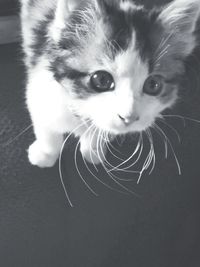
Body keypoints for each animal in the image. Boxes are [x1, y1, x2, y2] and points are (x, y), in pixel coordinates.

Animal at [20, 0, 200, 168]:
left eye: (153, 84)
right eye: (101, 80)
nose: (129, 118)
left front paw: (93, 149)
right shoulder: (40, 84)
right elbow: (46, 128)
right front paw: (45, 154)